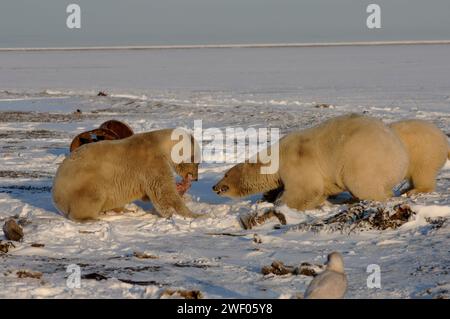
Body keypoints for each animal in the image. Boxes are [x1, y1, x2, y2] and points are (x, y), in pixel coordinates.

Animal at [51, 129, 201, 221]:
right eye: (197, 162)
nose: (196, 178)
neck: (159, 144)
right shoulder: (151, 161)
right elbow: (163, 191)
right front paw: (195, 215)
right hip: (84, 182)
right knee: (92, 197)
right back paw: (91, 218)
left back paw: (124, 210)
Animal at [213, 114, 410, 211]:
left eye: (226, 174)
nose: (214, 186)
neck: (277, 155)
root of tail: (400, 152)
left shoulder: (297, 162)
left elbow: (305, 189)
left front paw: (281, 203)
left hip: (362, 159)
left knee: (363, 184)